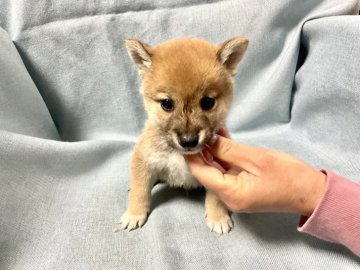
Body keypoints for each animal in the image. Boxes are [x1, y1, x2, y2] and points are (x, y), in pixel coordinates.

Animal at [121, 35, 248, 234]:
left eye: (208, 102)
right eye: (167, 104)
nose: (188, 141)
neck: (179, 155)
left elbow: (216, 197)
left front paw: (218, 217)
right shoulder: (143, 160)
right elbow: (140, 190)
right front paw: (134, 213)